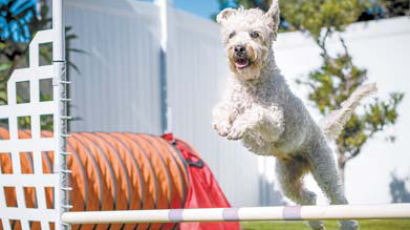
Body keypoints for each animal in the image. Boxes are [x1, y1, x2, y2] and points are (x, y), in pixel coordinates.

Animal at [213, 0, 376, 229]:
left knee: (338, 199)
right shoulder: (230, 102)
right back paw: (316, 223)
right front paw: (223, 125)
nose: (239, 48)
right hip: (287, 179)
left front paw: (238, 126)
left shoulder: (275, 122)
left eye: (255, 34)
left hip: (324, 168)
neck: (250, 84)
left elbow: (256, 113)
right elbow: (221, 109)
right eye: (232, 34)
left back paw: (347, 224)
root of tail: (320, 131)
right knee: (308, 197)